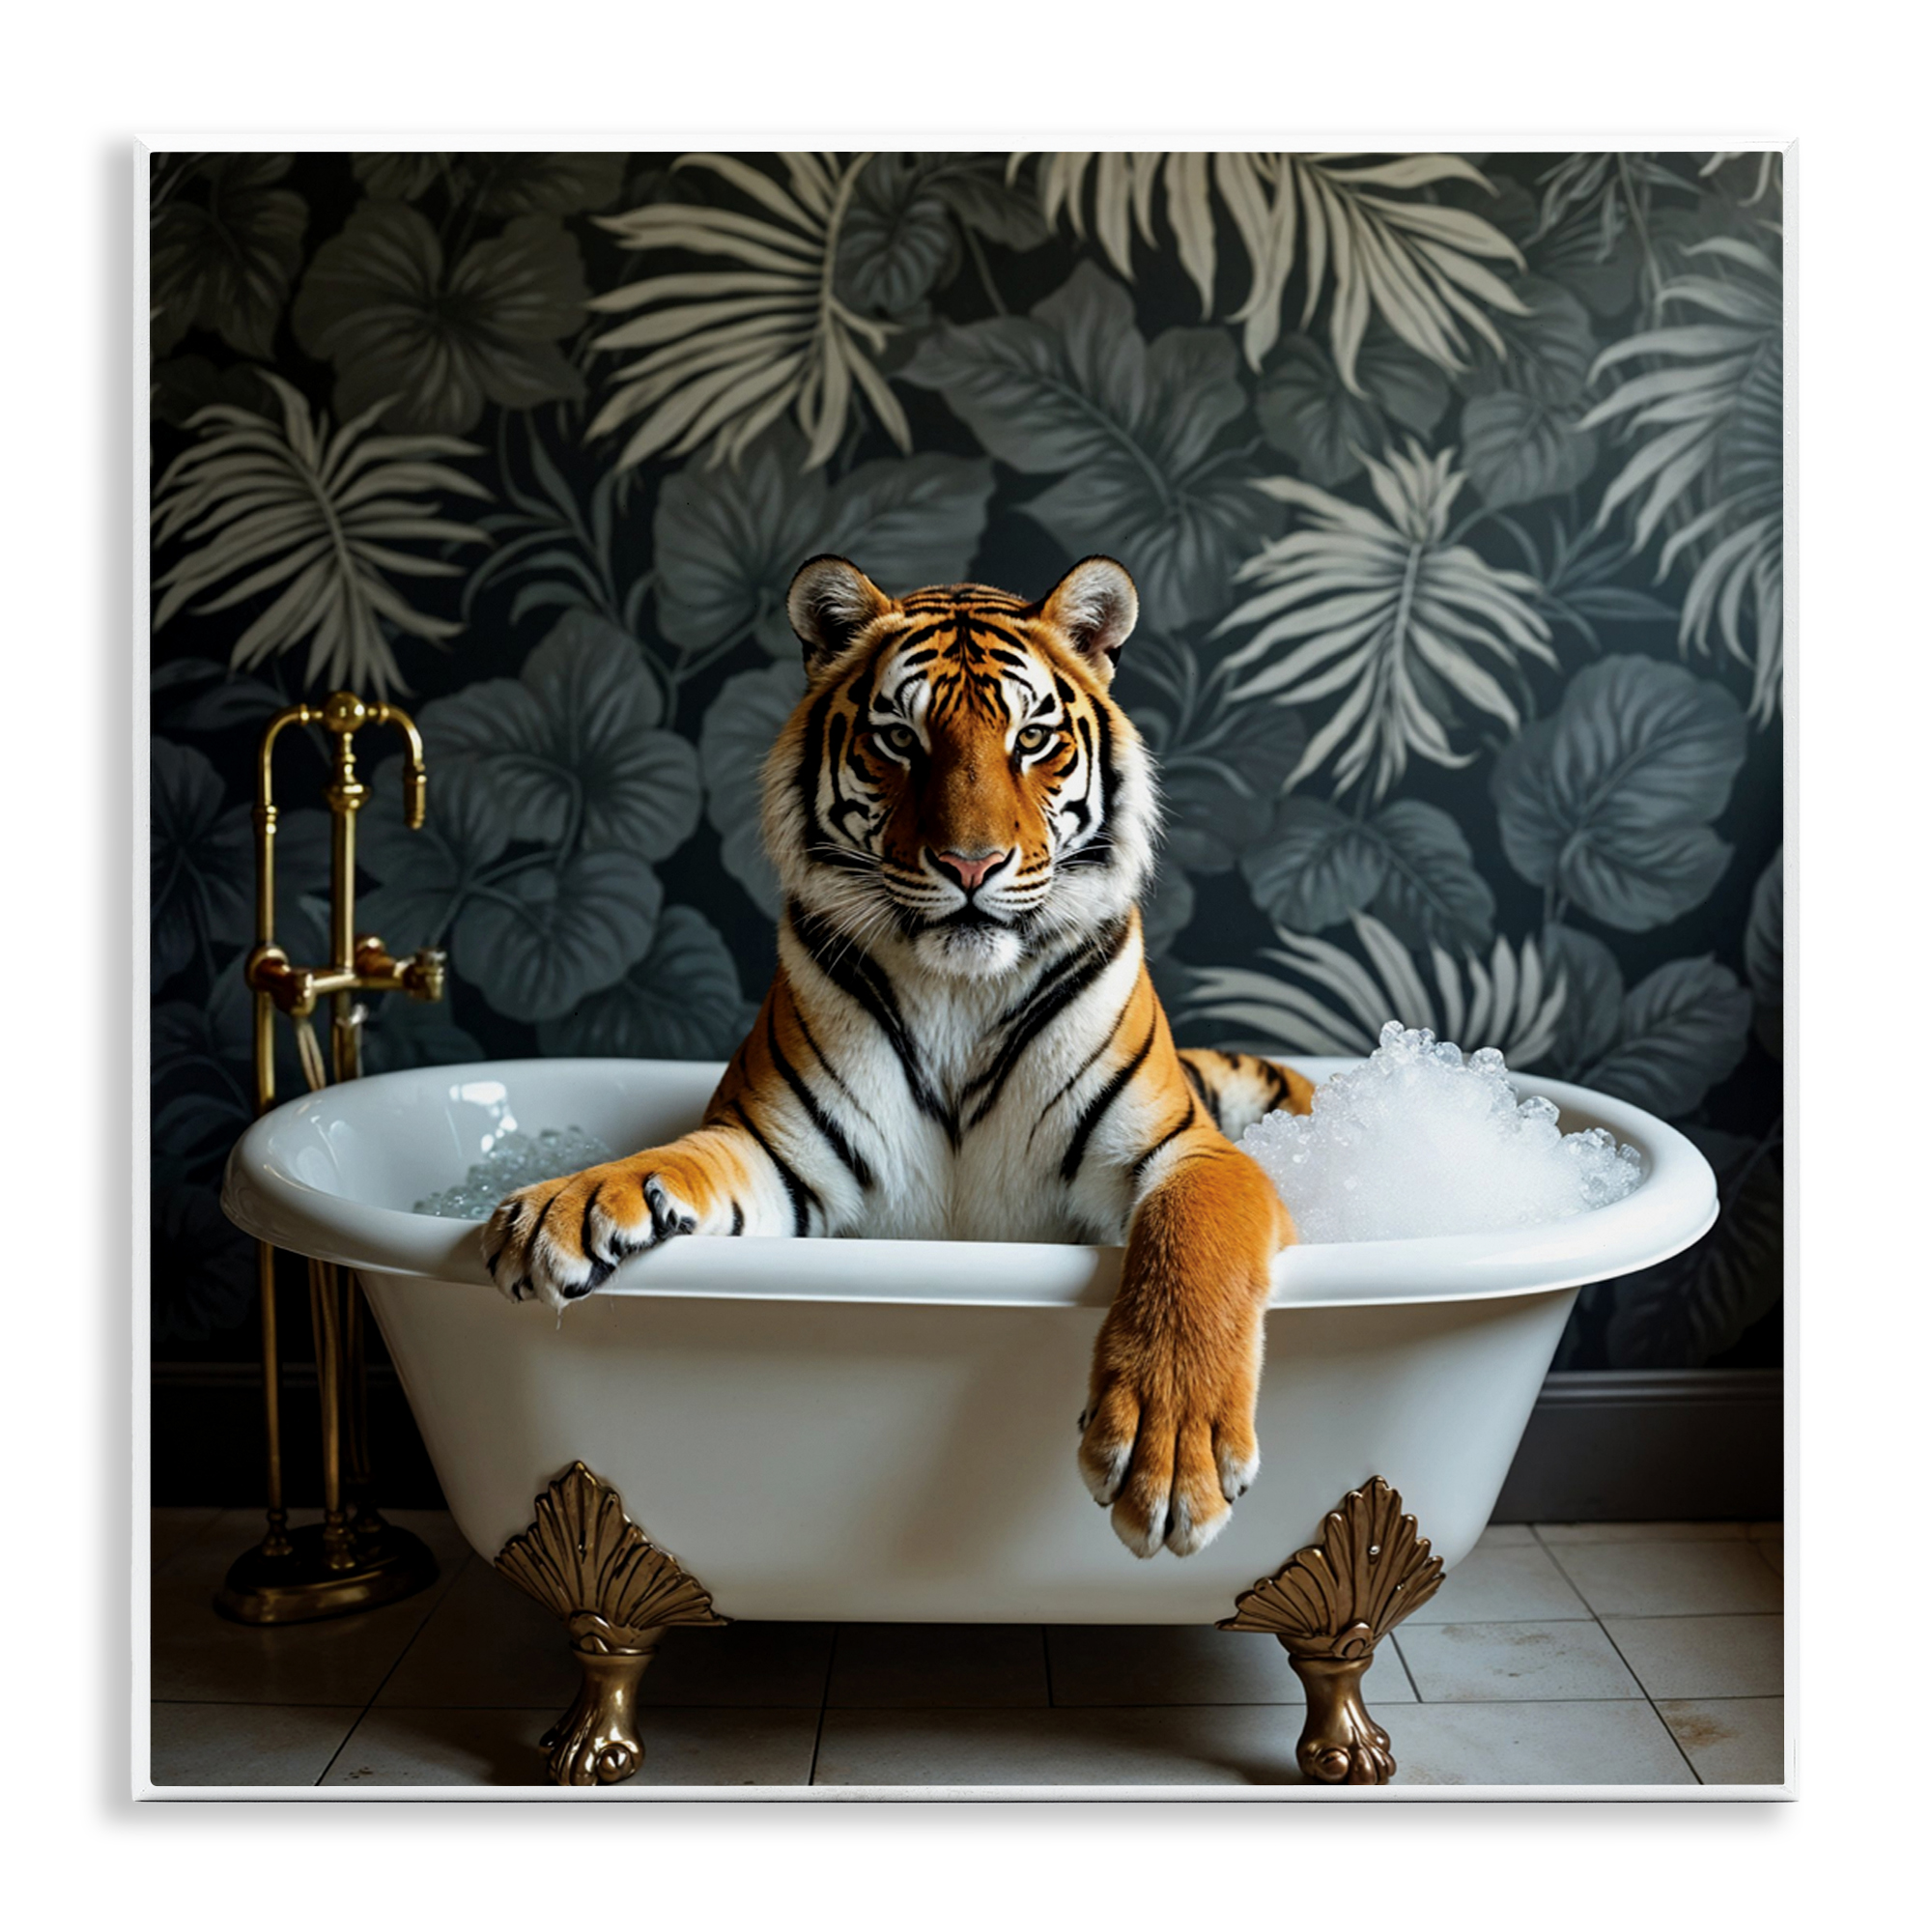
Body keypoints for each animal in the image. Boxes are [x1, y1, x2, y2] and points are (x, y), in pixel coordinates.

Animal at [483, 554, 1314, 1560]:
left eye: (1033, 739)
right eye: (899, 740)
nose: (971, 865)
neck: (961, 991)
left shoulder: (1187, 1151)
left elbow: (1192, 1248)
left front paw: (1170, 1451)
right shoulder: (777, 1152)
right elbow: (674, 1159)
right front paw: (564, 1206)